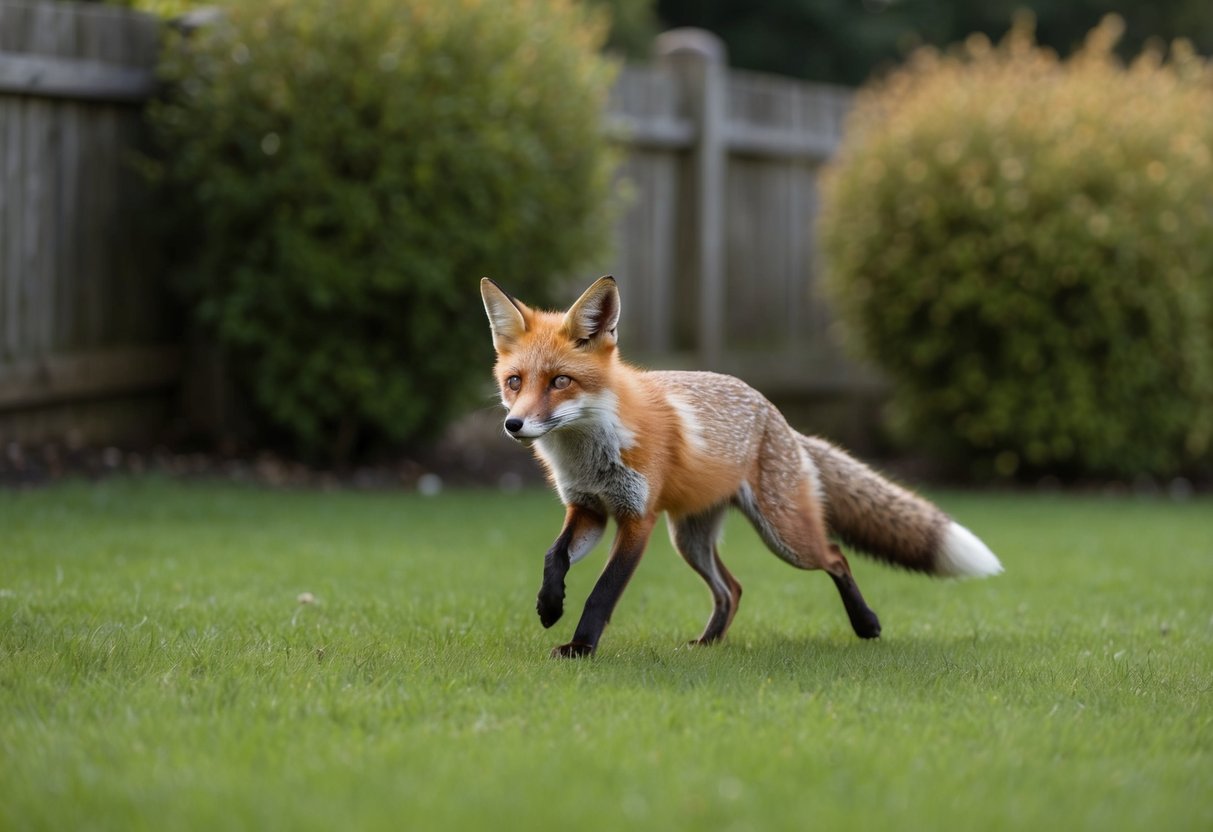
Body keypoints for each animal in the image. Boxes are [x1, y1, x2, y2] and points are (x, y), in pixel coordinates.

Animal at [481, 275, 1003, 658]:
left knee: (836, 556)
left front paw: (580, 647)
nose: (514, 424)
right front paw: (549, 606)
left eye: (560, 381)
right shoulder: (589, 508)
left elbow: (603, 593)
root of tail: (779, 417)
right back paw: (708, 643)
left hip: (783, 535)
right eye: (514, 382)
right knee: (732, 588)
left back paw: (866, 623)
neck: (589, 451)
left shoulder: (636, 518)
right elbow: (554, 556)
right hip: (690, 539)